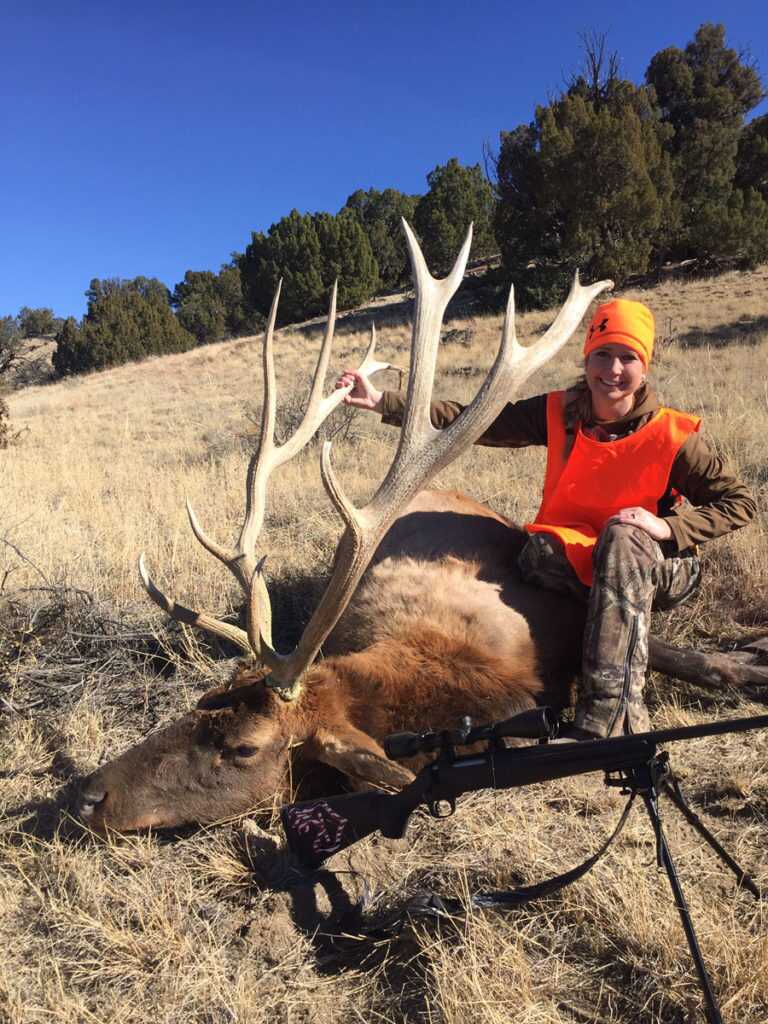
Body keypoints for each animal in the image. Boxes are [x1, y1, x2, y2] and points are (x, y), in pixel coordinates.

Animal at [76, 223, 768, 833]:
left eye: (244, 747)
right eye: (202, 702)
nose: (86, 794)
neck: (458, 667)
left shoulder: (565, 615)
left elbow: (686, 658)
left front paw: (751, 662)